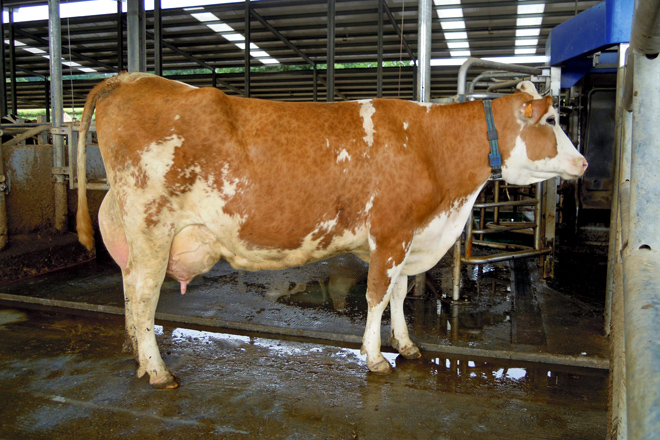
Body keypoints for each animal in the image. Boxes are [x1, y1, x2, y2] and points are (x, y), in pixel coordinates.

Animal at [76, 72, 587, 389]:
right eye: (550, 120)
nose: (582, 163)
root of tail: (132, 77)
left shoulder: (406, 239)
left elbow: (399, 293)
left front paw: (406, 345)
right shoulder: (391, 234)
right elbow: (377, 294)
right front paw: (376, 357)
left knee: (130, 289)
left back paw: (138, 358)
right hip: (152, 228)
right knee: (144, 295)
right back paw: (158, 370)